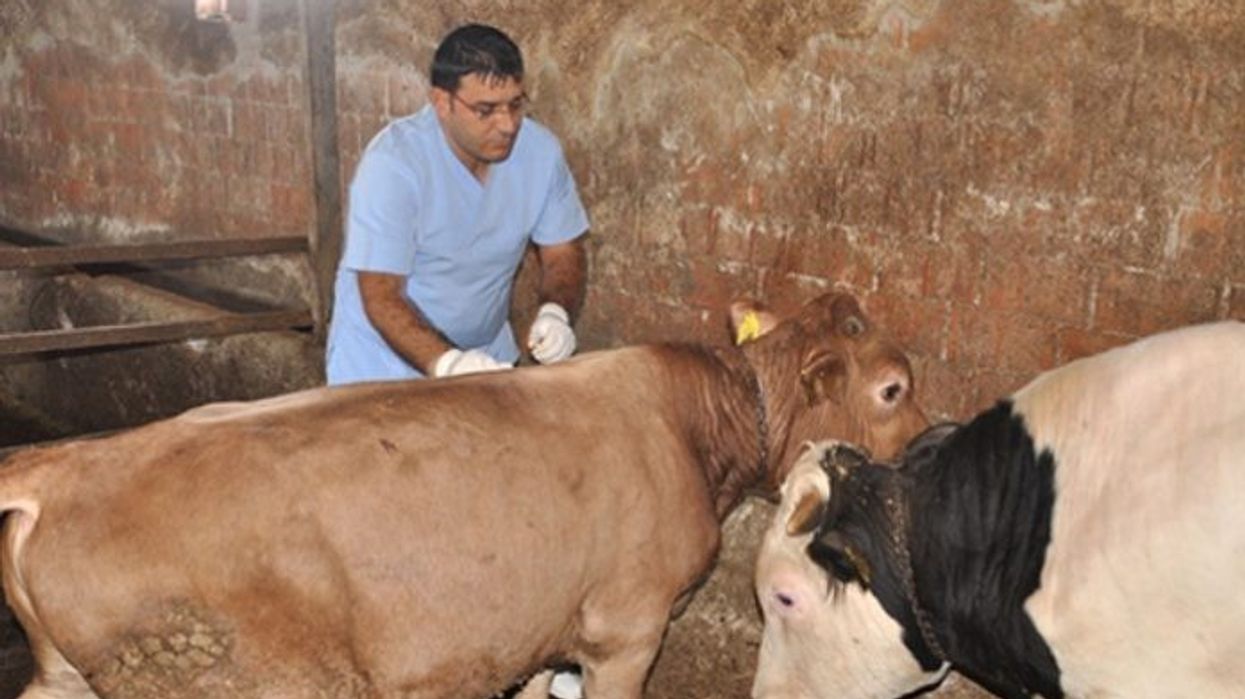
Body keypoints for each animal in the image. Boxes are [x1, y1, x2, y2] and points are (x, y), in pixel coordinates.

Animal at [0, 290, 927, 699]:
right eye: (891, 387)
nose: (926, 449)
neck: (697, 429)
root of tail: (63, 464)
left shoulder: (534, 626)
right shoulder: (626, 627)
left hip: (69, 676)